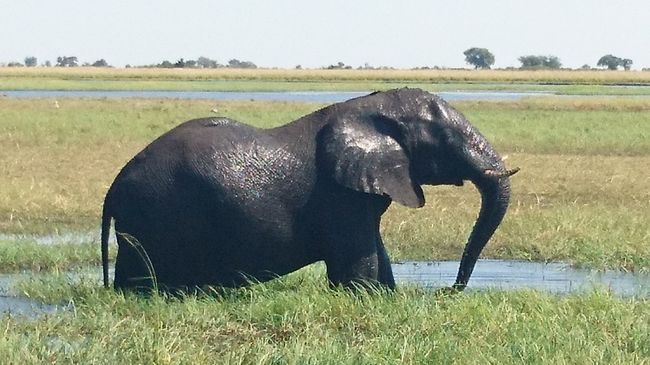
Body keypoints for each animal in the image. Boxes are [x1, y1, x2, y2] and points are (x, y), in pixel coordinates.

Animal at [100, 86, 516, 292]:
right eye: (445, 139)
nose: (448, 291)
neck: (369, 108)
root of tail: (114, 186)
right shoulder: (340, 197)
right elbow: (357, 259)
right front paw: (362, 299)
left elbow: (374, 249)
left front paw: (388, 297)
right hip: (154, 213)